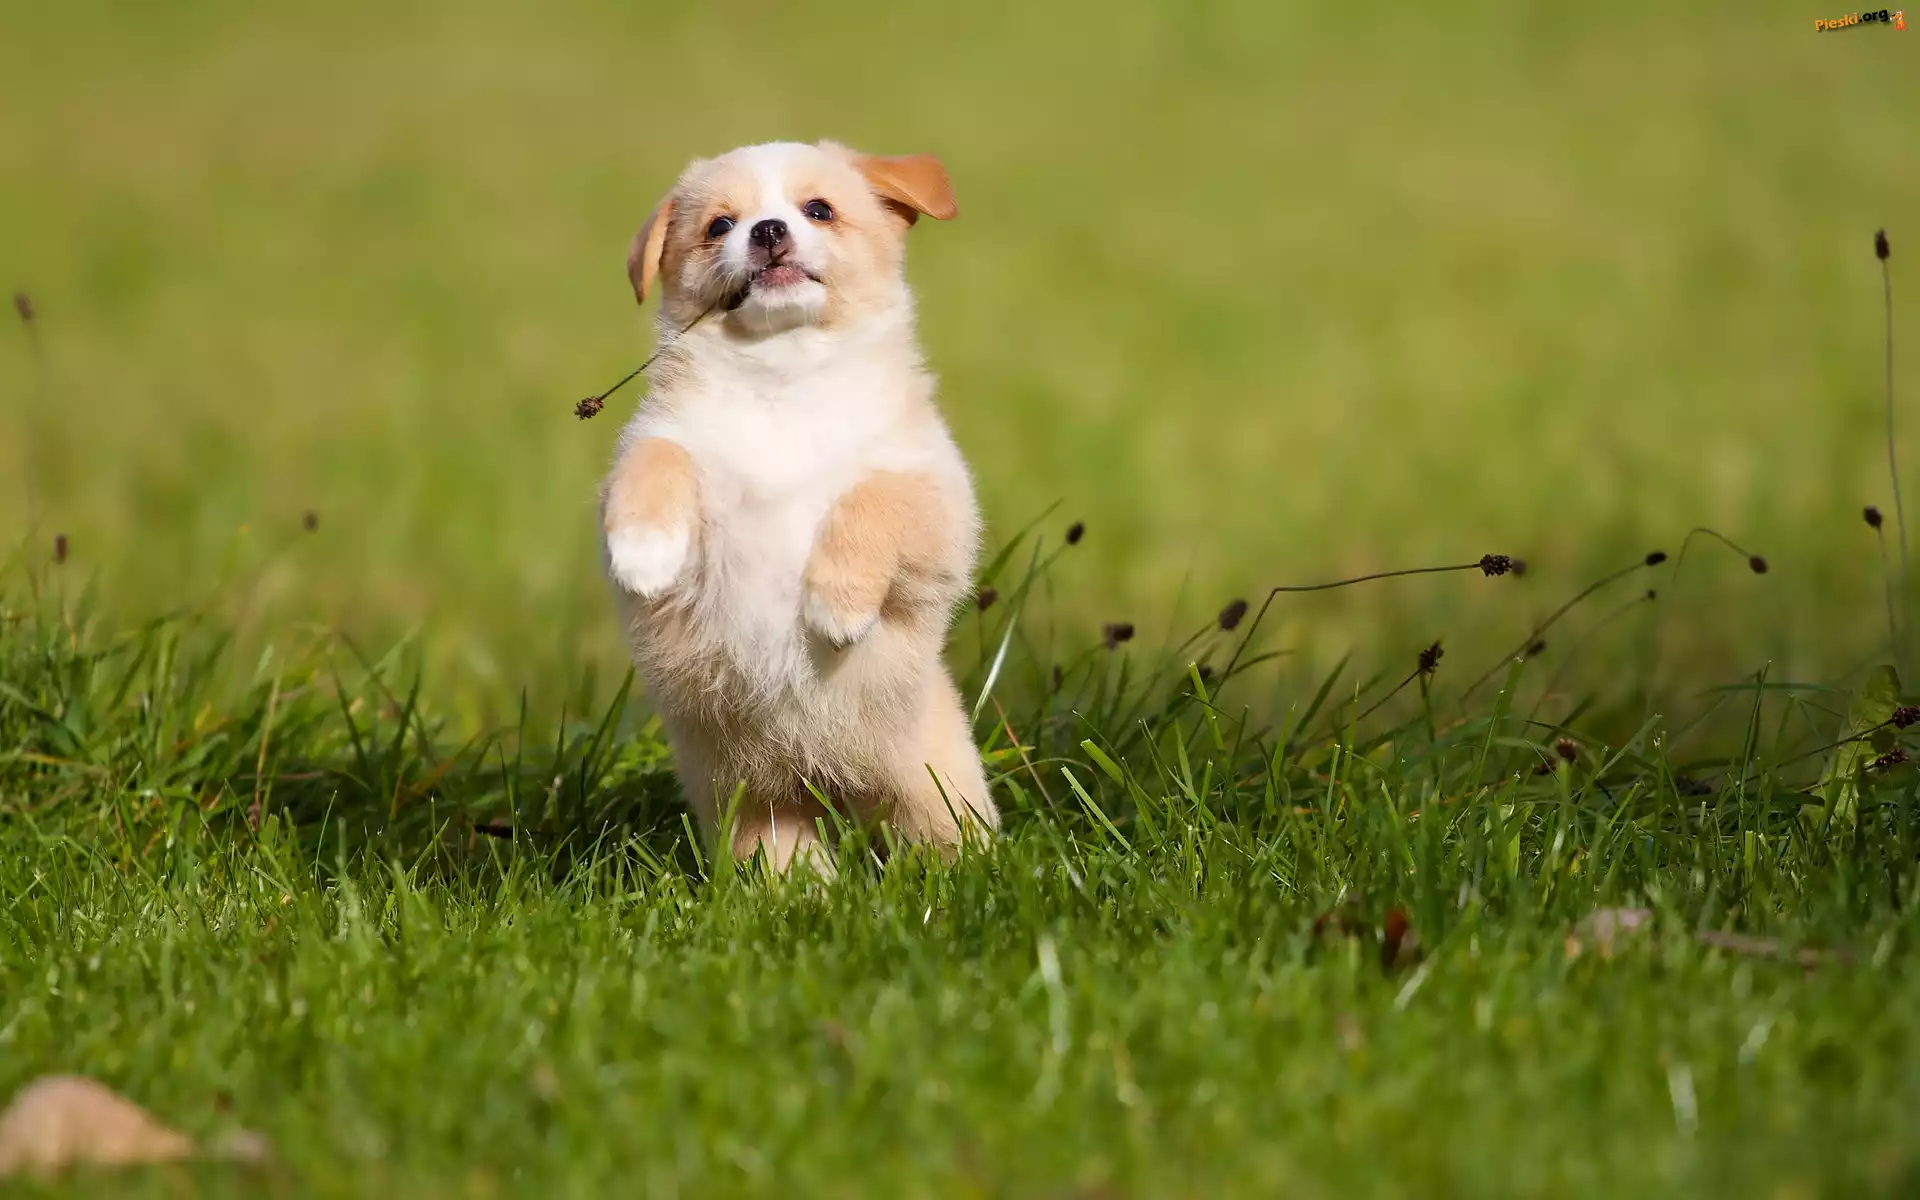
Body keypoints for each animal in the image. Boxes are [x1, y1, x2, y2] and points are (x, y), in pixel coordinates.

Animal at [600, 140, 998, 874]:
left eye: (819, 210)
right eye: (720, 225)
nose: (767, 230)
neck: (783, 378)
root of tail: (832, 784)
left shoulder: (937, 499)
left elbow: (871, 496)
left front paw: (835, 608)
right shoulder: (665, 443)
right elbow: (657, 457)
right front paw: (643, 553)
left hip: (933, 787)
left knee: (945, 836)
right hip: (755, 803)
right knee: (782, 854)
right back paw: (800, 892)